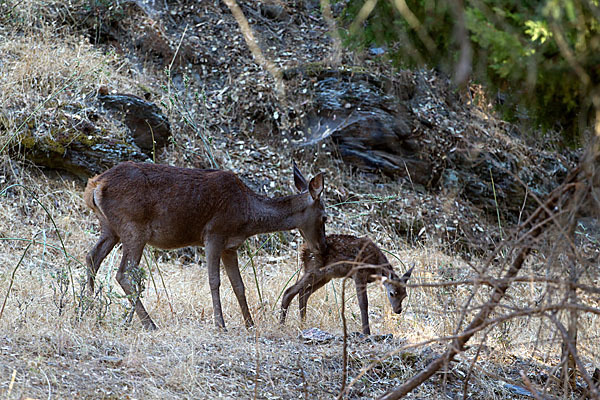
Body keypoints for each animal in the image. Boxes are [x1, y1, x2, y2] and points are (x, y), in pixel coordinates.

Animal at [84, 161, 326, 330]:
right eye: (324, 217)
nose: (322, 247)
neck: (248, 215)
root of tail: (95, 185)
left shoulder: (231, 246)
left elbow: (239, 285)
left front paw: (249, 324)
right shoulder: (214, 233)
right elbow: (214, 281)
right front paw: (220, 324)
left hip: (110, 228)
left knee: (92, 258)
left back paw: (89, 310)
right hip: (134, 227)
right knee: (124, 273)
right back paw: (148, 323)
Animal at [280, 234, 412, 334]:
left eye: (405, 295)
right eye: (392, 293)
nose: (398, 310)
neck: (375, 267)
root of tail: (303, 250)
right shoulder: (359, 273)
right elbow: (363, 303)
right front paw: (366, 332)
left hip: (325, 276)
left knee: (303, 293)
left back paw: (303, 324)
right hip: (314, 269)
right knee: (289, 291)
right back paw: (282, 324)